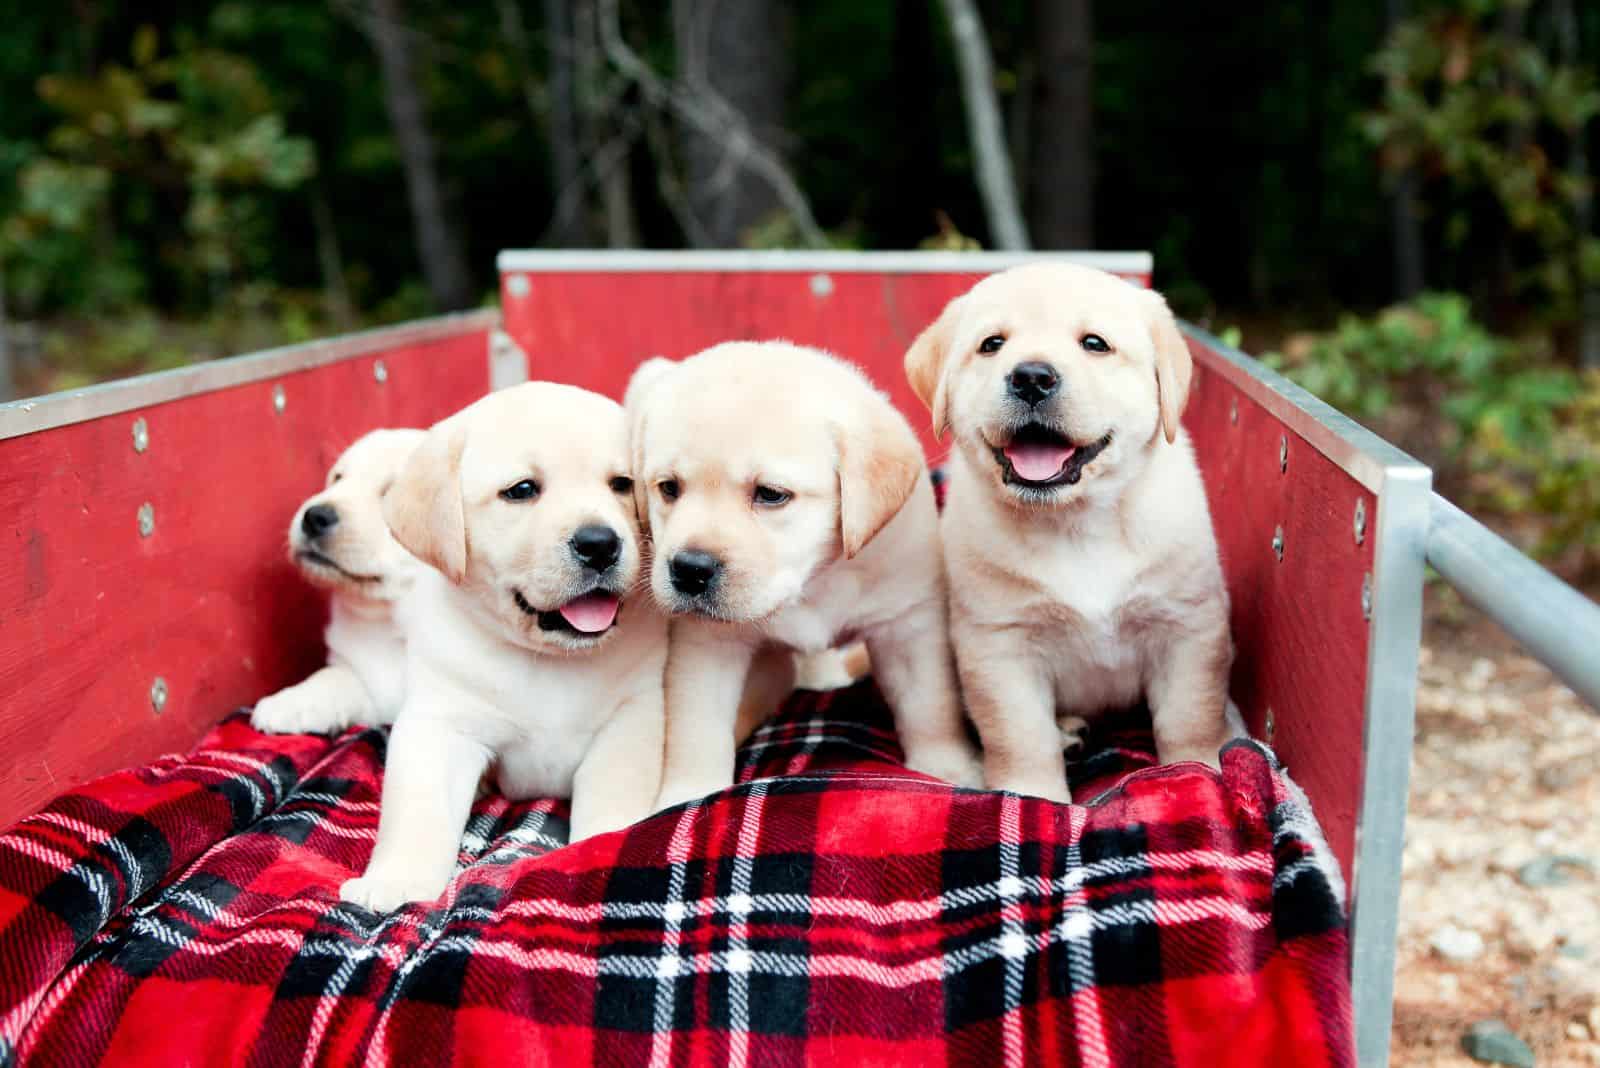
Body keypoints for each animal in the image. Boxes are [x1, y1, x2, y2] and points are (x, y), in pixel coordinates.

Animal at [252, 425, 425, 735]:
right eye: (337, 478)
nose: (314, 516)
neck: (393, 625)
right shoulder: (368, 687)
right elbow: (333, 678)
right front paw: (289, 702)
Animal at [337, 383, 668, 908]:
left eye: (621, 484)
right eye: (522, 490)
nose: (600, 543)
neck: (549, 659)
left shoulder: (631, 717)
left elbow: (611, 802)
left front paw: (597, 851)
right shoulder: (440, 721)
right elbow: (417, 810)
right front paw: (395, 879)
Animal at [620, 342, 972, 808]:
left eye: (770, 495)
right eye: (668, 488)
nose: (689, 570)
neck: (811, 583)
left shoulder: (908, 623)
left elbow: (931, 704)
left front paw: (947, 768)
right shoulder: (705, 644)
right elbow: (695, 728)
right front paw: (686, 794)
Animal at [908, 265, 1228, 799]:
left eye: (1094, 344)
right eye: (992, 344)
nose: (1032, 377)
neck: (1074, 524)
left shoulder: (1188, 627)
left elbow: (1190, 715)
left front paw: (1198, 772)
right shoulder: (1000, 647)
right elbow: (1021, 736)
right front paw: (1031, 796)